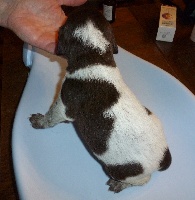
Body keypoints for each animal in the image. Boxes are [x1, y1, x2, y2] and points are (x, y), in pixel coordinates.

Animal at [29, 7, 171, 192]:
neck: (95, 57)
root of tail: (163, 157)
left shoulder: (64, 104)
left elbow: (51, 116)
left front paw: (40, 121)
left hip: (120, 169)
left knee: (141, 180)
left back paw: (120, 184)